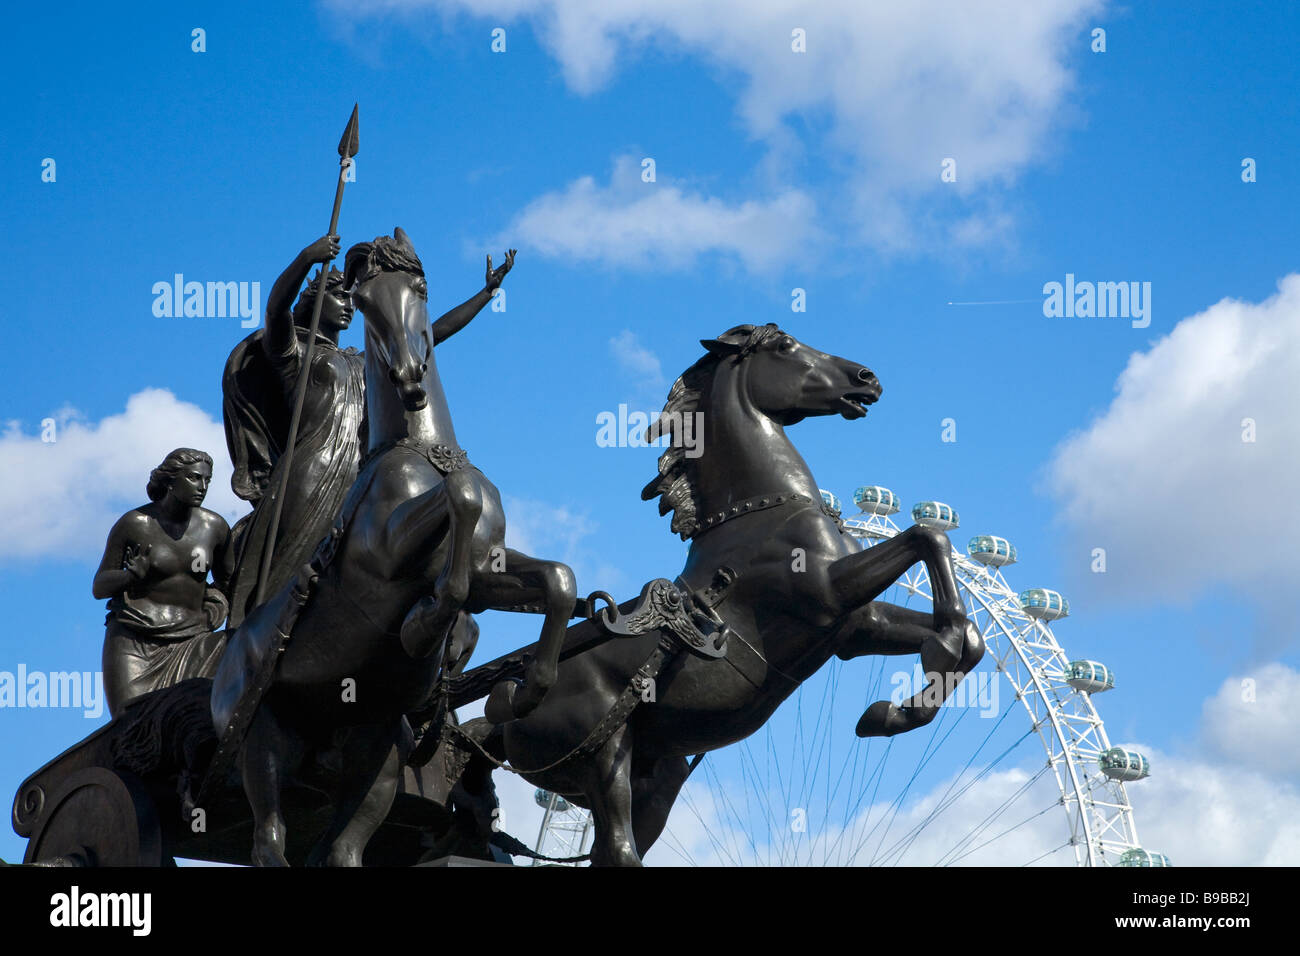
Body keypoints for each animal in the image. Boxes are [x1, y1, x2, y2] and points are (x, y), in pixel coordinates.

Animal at [213, 227, 574, 863]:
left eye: (420, 287)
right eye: (361, 301)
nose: (409, 377)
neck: (427, 456)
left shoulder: (490, 572)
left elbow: (557, 580)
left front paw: (520, 695)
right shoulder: (385, 554)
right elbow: (459, 508)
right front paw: (423, 629)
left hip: (373, 749)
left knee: (341, 847)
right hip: (263, 741)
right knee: (269, 840)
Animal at [462, 321, 977, 868]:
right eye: (785, 346)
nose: (867, 377)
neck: (762, 508)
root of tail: (502, 723)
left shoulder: (854, 628)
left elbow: (970, 634)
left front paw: (895, 711)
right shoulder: (828, 593)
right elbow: (928, 538)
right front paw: (932, 660)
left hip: (656, 779)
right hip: (602, 756)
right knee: (619, 848)